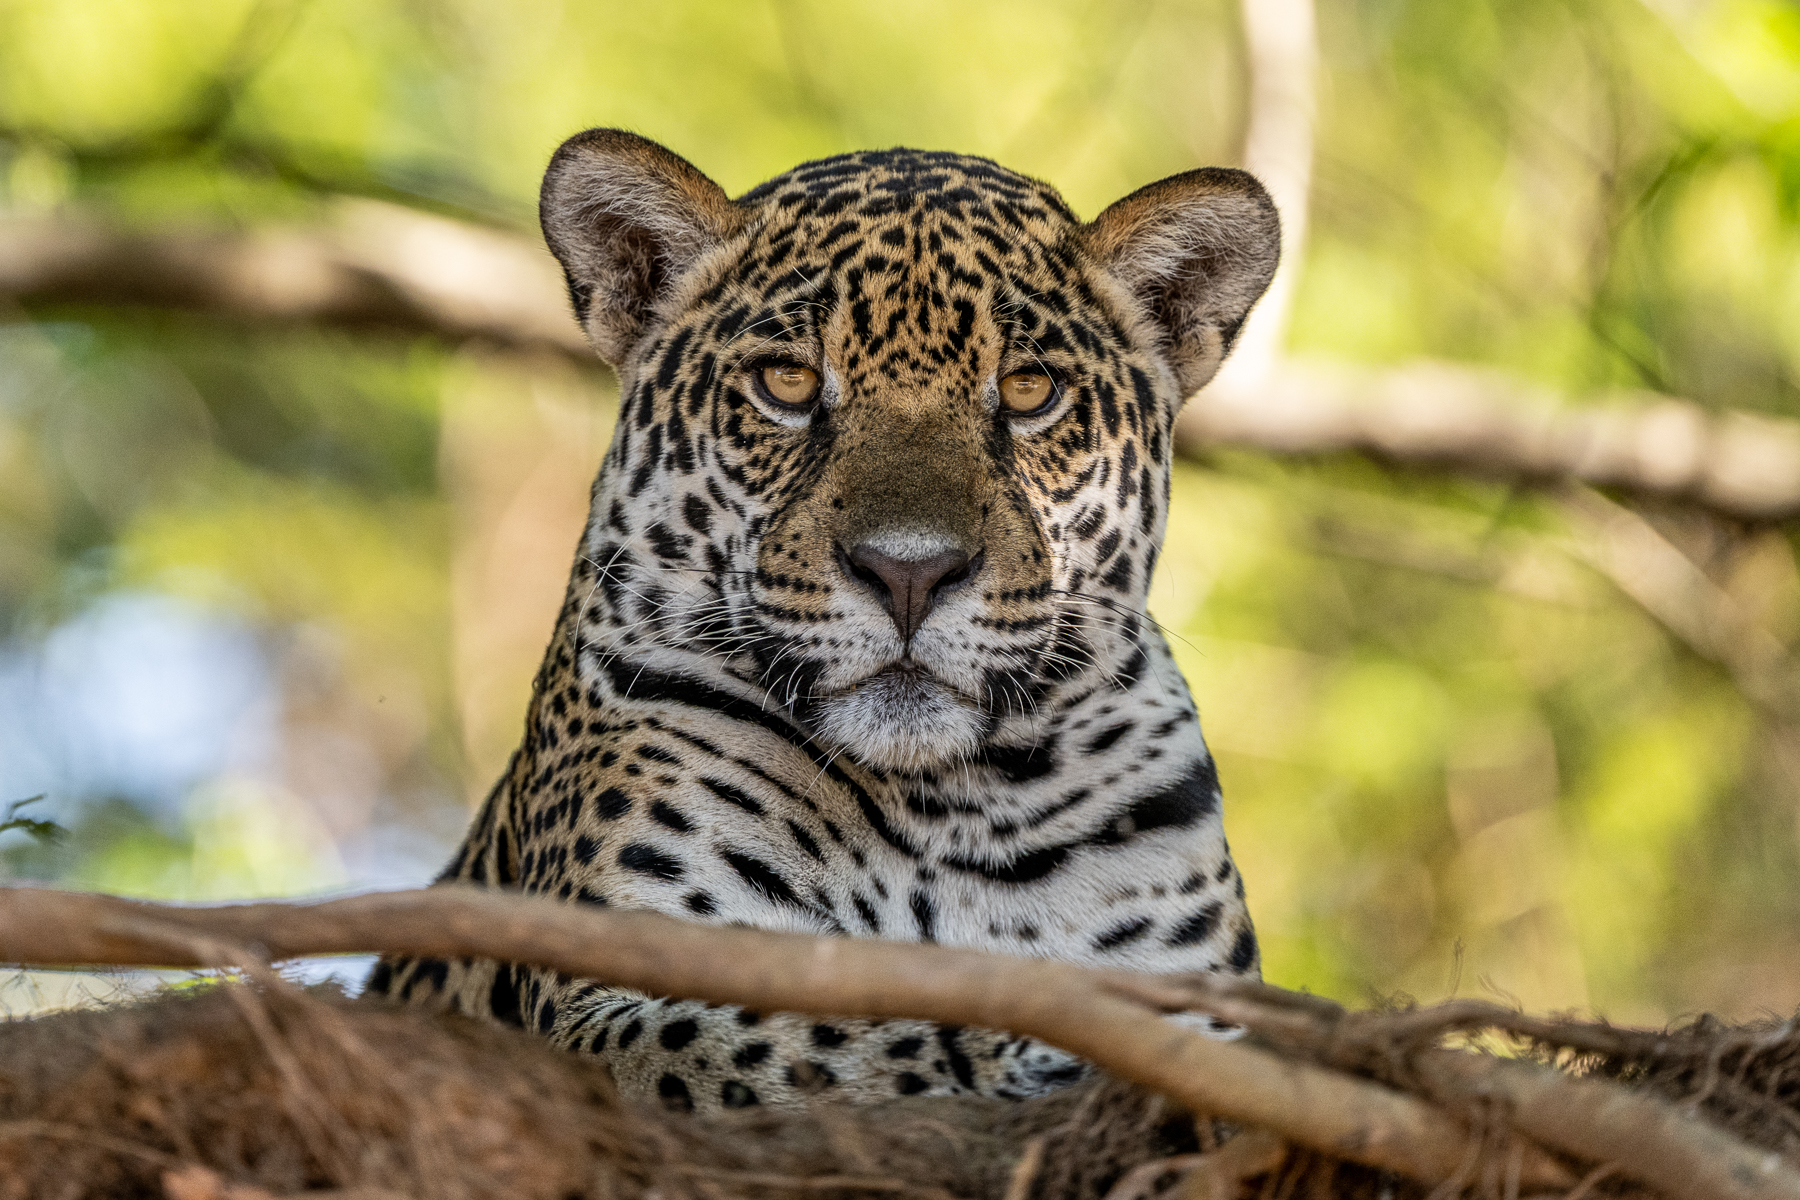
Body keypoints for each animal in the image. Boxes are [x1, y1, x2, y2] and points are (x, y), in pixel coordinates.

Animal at [367, 128, 1280, 1115]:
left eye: (1030, 390)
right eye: (789, 381)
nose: (910, 571)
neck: (954, 810)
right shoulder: (605, 997)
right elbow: (811, 1042)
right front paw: (1036, 1050)